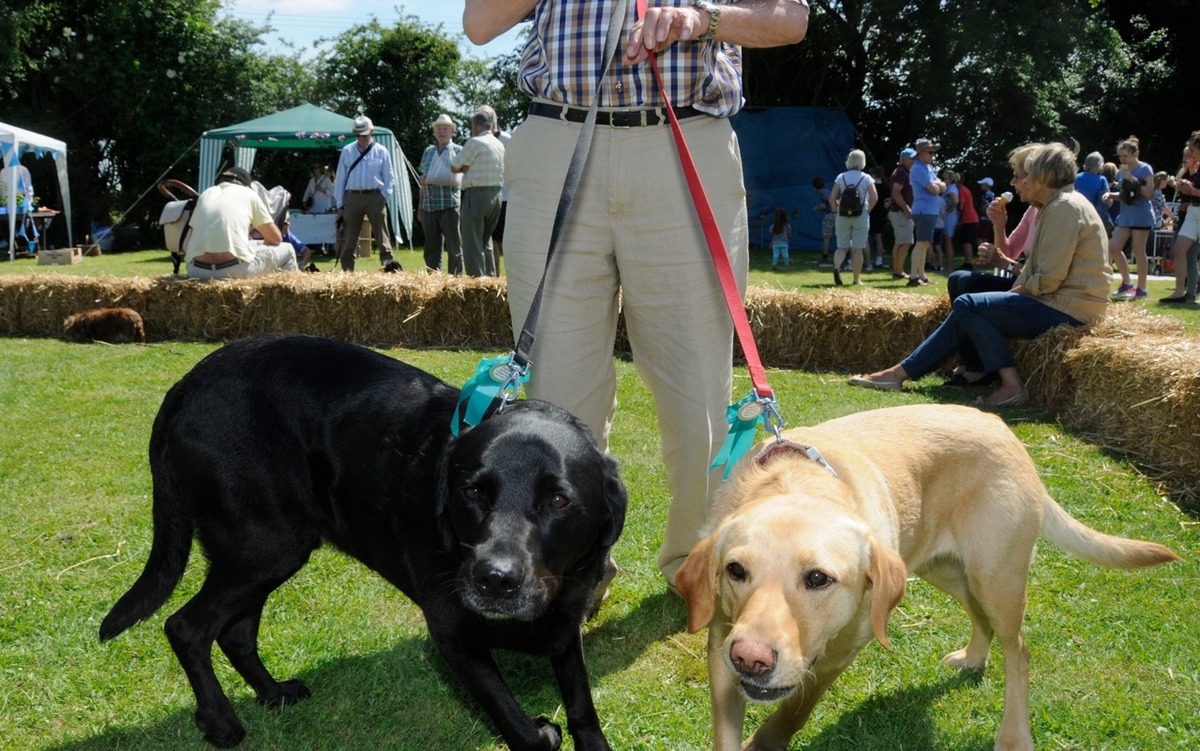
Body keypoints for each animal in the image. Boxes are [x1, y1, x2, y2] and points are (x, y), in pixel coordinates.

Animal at [100, 335, 628, 748]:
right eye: (472, 492)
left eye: (558, 500)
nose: (494, 581)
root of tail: (185, 386)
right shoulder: (452, 631)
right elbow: (520, 727)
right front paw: (538, 732)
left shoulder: (565, 624)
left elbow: (582, 708)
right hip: (266, 545)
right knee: (186, 627)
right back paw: (220, 722)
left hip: (264, 551)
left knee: (234, 632)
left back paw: (273, 694)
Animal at [681, 403, 1176, 748]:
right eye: (736, 571)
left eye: (818, 579)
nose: (750, 659)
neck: (796, 481)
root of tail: (1005, 431)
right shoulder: (720, 641)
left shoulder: (841, 650)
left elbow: (792, 712)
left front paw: (768, 739)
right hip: (944, 570)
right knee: (981, 620)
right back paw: (973, 657)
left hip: (997, 577)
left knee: (1019, 652)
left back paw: (1014, 736)